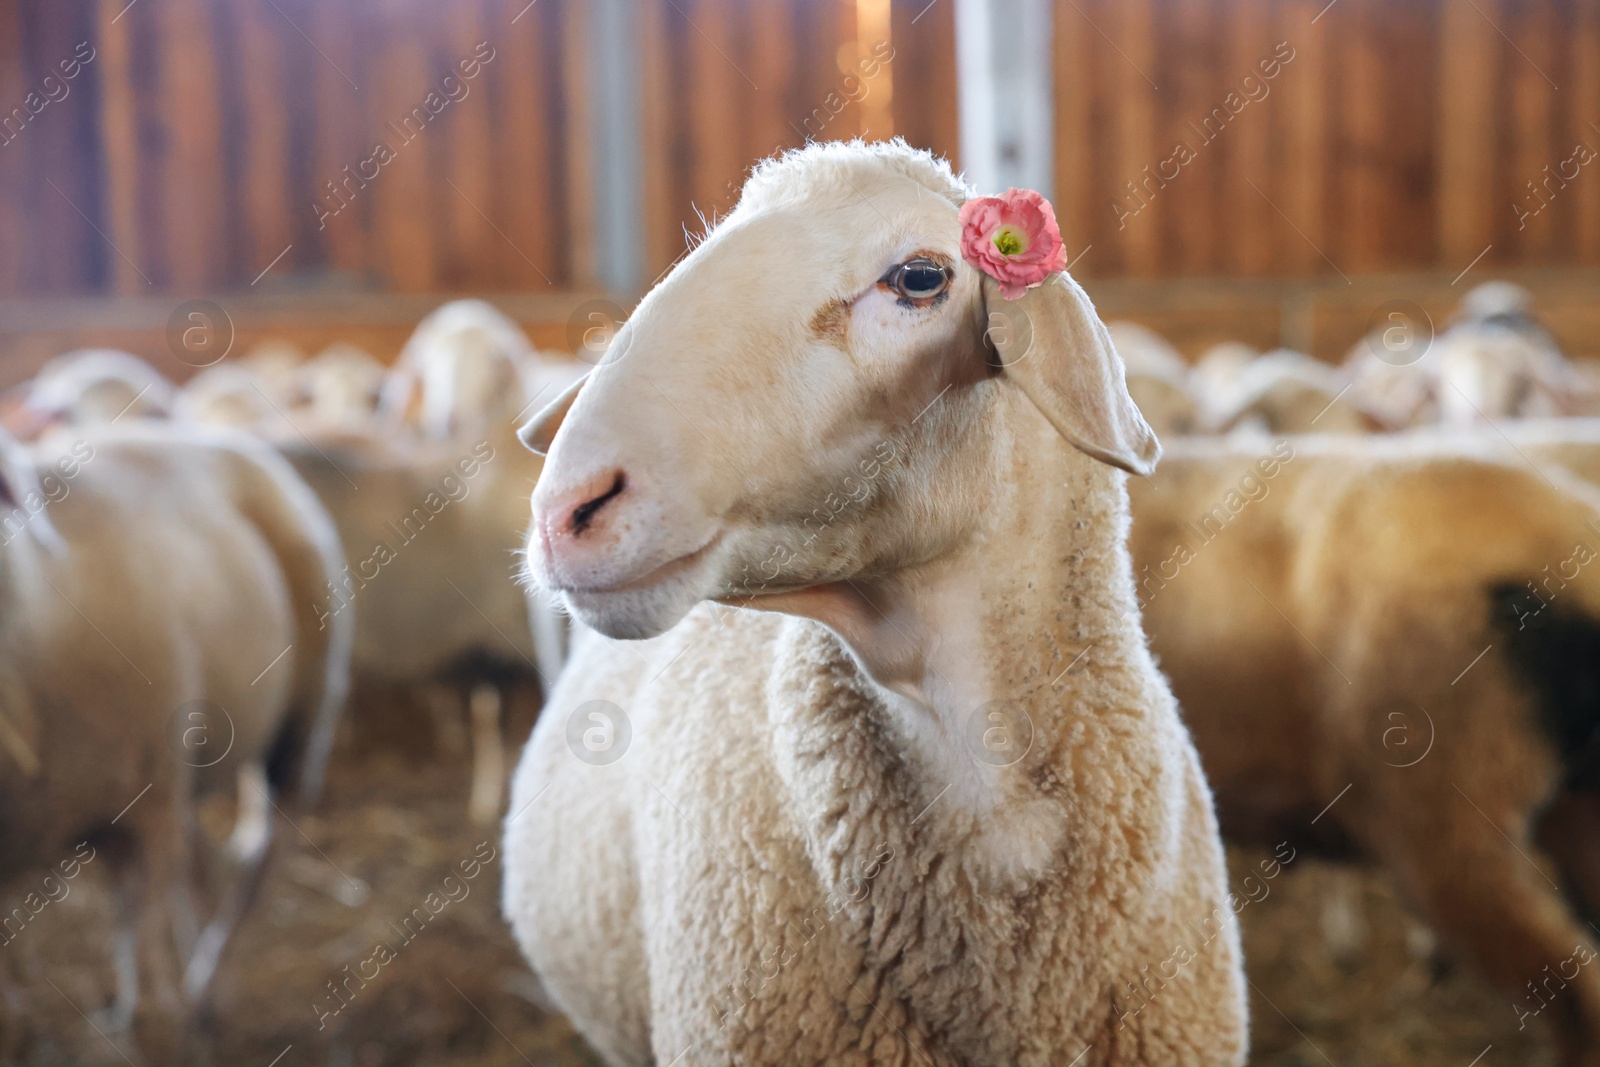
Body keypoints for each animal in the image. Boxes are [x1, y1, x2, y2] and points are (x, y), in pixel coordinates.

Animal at [0, 419, 350, 1062]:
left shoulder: (146, 805)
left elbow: (143, 959)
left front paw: (158, 1021)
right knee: (202, 861)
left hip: (301, 720)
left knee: (259, 854)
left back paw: (208, 988)